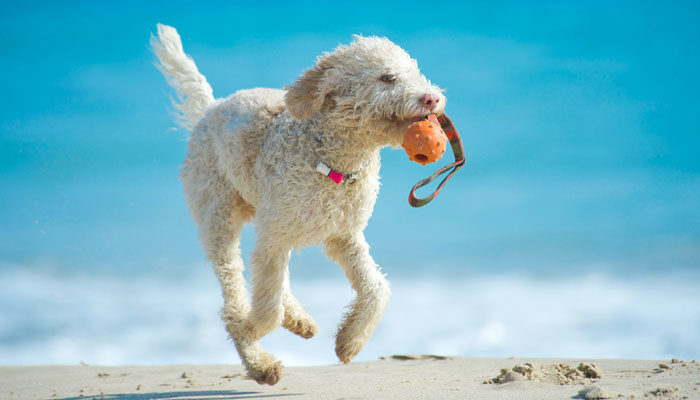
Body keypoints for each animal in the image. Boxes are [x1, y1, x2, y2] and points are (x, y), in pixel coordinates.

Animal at [151, 24, 446, 384]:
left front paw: (350, 340)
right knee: (235, 295)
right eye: (387, 77)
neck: (332, 161)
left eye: (416, 73)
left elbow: (377, 288)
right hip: (220, 218)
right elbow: (266, 308)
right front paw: (255, 328)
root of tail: (211, 107)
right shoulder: (276, 236)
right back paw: (259, 360)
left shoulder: (343, 235)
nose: (432, 97)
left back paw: (297, 320)